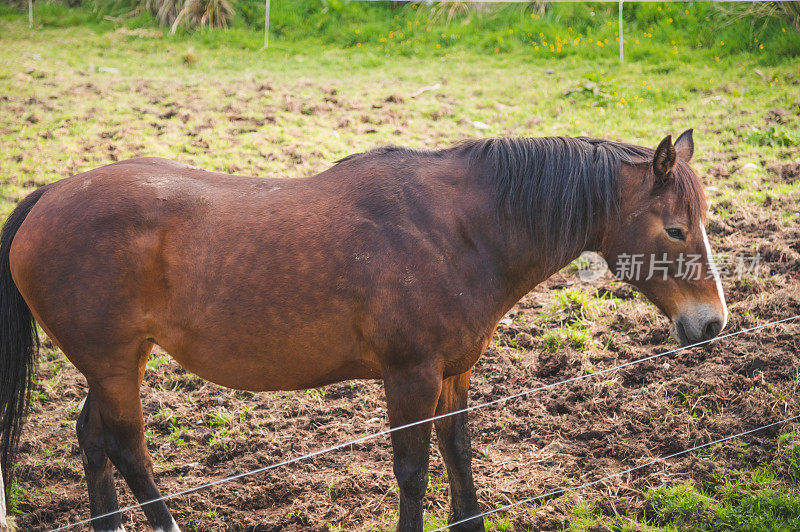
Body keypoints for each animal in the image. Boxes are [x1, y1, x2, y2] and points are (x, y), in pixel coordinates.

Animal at [0, 130, 724, 532]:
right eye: (675, 228)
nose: (712, 322)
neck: (459, 230)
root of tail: (50, 196)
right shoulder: (409, 376)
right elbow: (413, 471)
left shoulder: (455, 371)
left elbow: (458, 449)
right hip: (115, 364)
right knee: (128, 450)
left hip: (115, 363)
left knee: (93, 440)